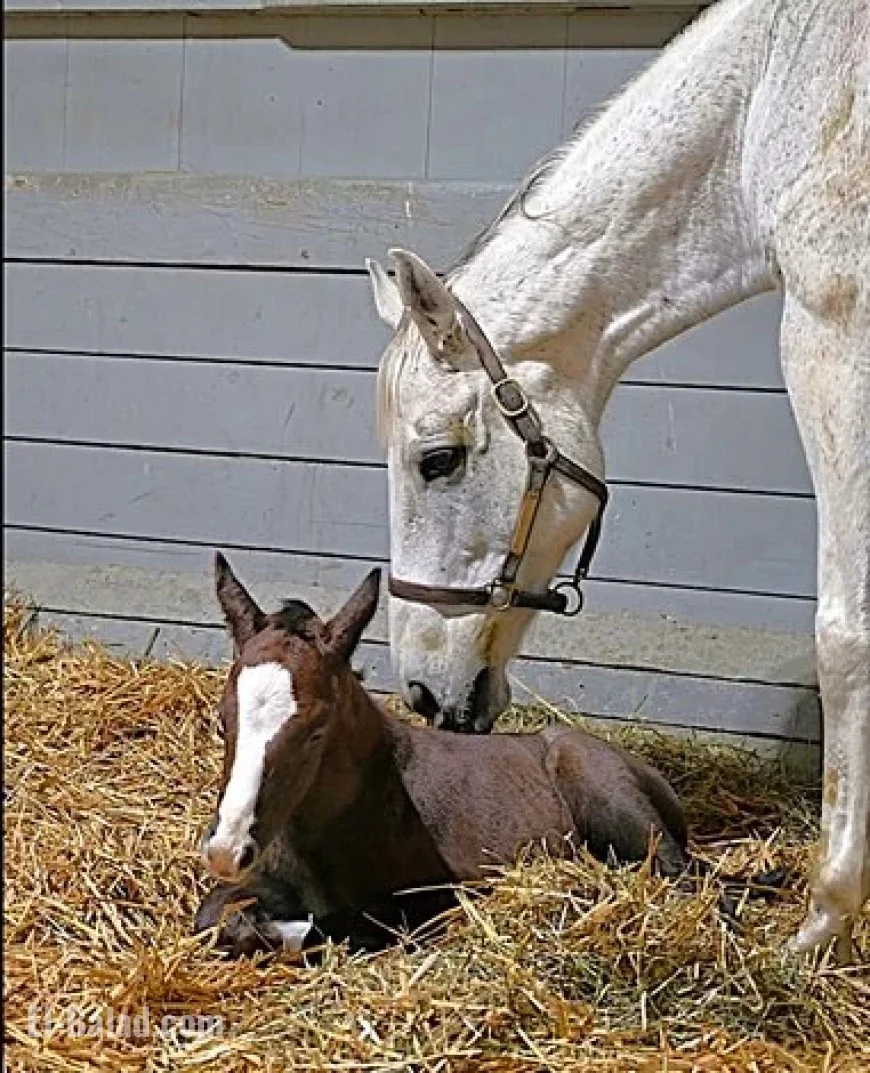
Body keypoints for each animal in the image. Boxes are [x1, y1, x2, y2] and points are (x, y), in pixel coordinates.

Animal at [365, 0, 868, 961]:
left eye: (437, 459)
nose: (419, 690)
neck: (775, 93)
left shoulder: (833, 336)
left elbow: (846, 633)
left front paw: (827, 914)